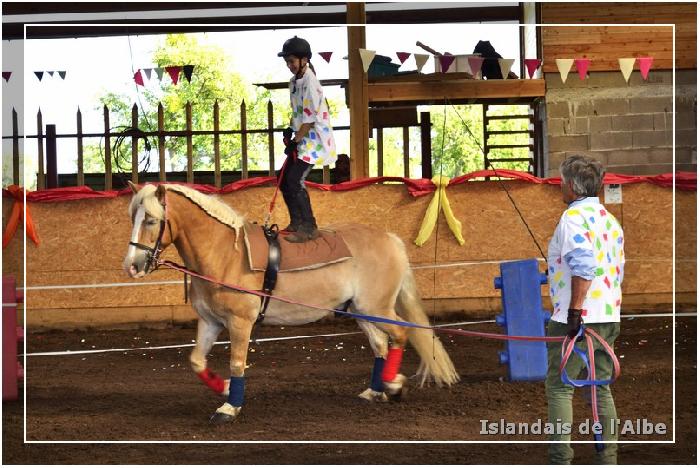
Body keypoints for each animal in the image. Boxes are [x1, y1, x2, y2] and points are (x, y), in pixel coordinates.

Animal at [121, 184, 460, 424]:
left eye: (150, 220)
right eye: (132, 218)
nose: (132, 266)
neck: (224, 254)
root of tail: (390, 239)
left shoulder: (240, 323)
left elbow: (237, 363)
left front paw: (230, 407)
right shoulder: (210, 322)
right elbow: (196, 361)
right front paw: (225, 388)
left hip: (377, 308)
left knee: (400, 335)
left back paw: (392, 385)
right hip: (360, 310)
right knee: (380, 345)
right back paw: (374, 390)